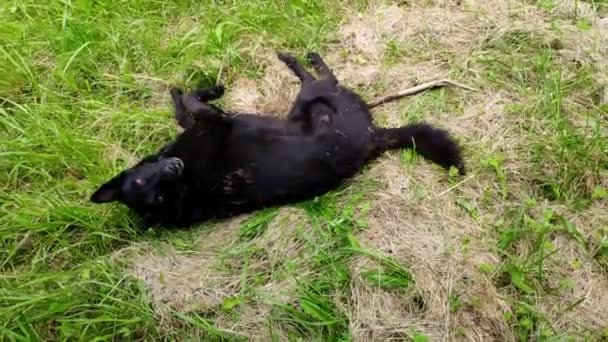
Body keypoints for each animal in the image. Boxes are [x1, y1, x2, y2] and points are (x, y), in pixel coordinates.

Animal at [90, 52, 466, 227]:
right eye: (154, 194)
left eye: (146, 184)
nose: (173, 170)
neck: (187, 184)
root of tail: (375, 136)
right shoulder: (213, 122)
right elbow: (196, 103)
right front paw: (205, 90)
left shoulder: (206, 124)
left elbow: (185, 109)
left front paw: (177, 94)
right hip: (310, 99)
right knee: (321, 77)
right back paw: (297, 58)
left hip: (304, 103)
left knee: (320, 76)